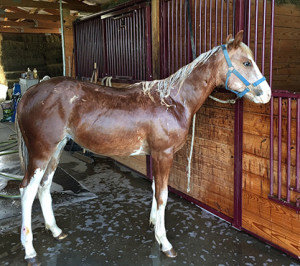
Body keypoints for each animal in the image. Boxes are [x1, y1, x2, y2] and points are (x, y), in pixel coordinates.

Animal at [15, 30, 270, 264]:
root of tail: (28, 94)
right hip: (41, 152)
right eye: (247, 62)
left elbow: (155, 188)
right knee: (27, 191)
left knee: (44, 187)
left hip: (56, 150)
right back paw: (29, 249)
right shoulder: (163, 155)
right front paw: (164, 242)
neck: (173, 101)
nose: (267, 94)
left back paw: (55, 230)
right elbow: (163, 195)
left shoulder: (156, 155)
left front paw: (154, 224)